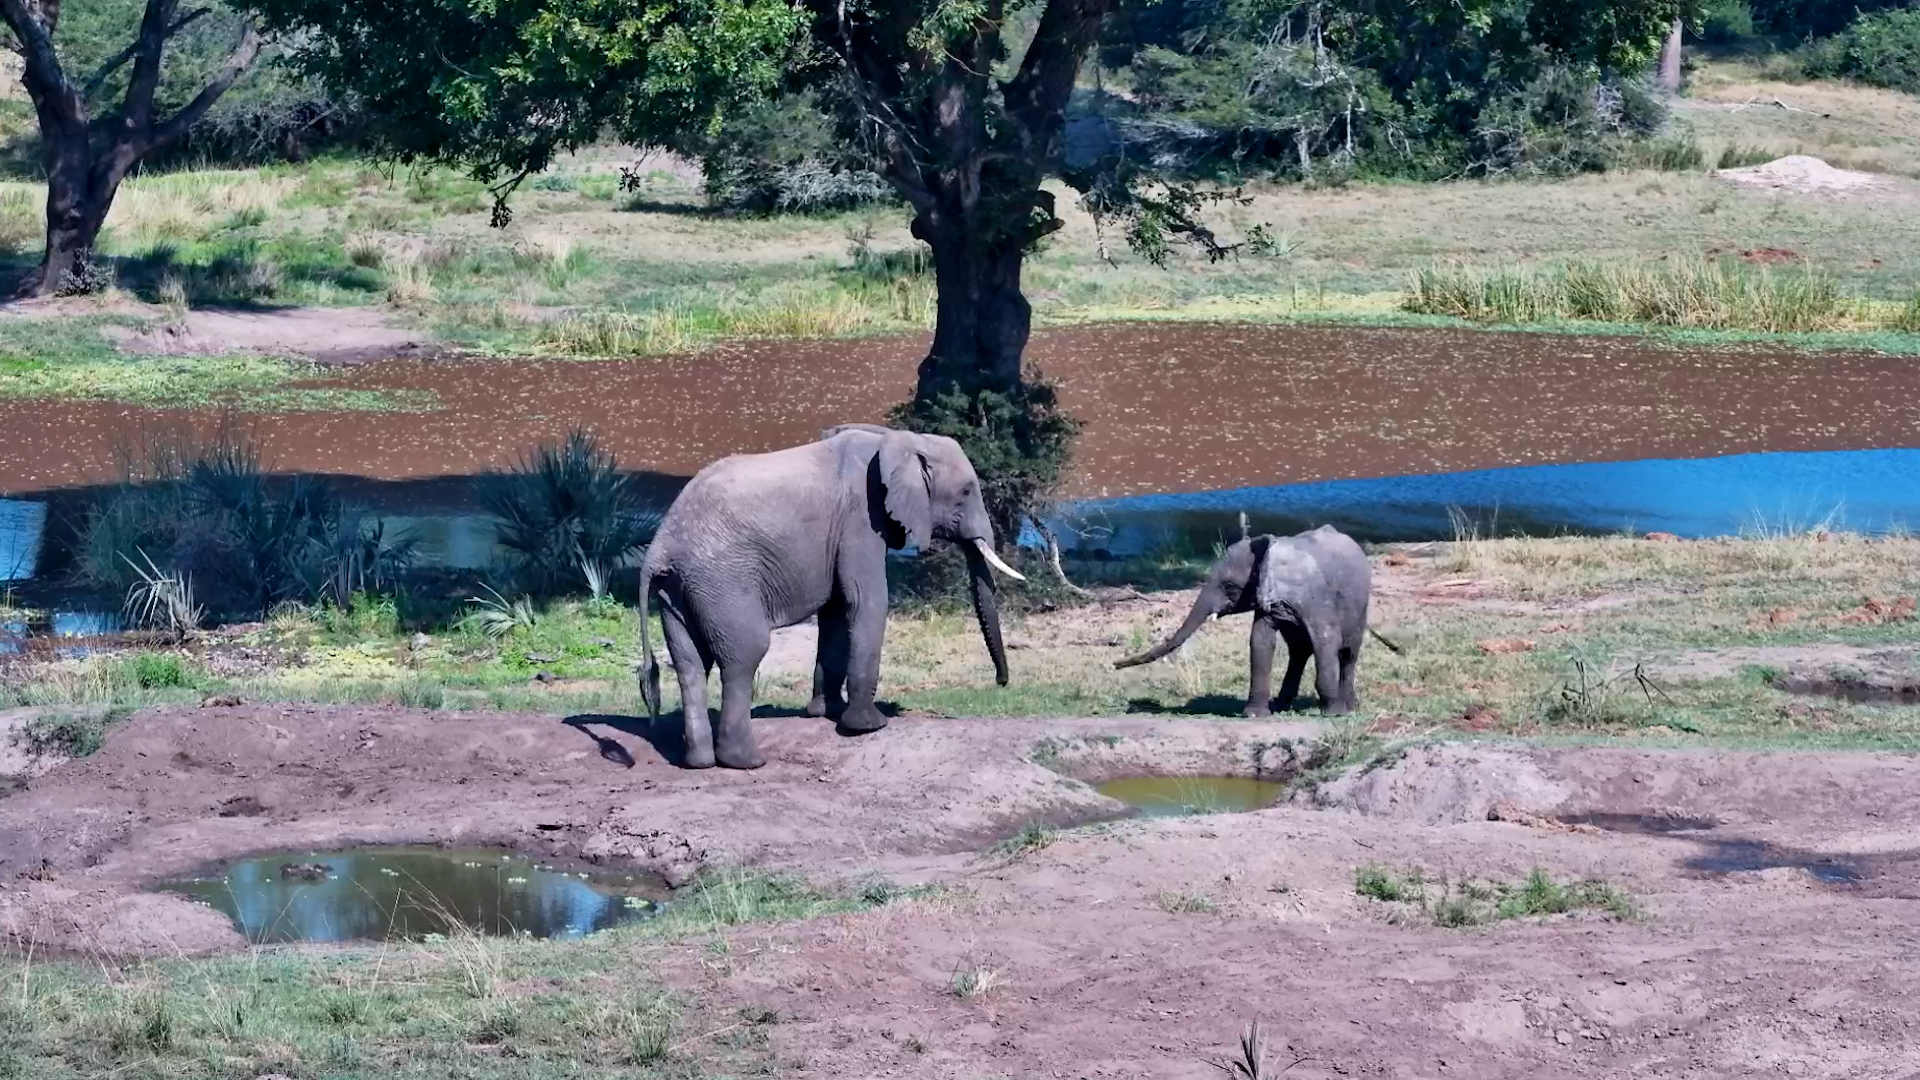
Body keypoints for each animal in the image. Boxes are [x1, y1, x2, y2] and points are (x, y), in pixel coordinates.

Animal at [637, 424, 1025, 769]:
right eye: (965, 492)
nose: (1000, 683)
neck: (900, 439)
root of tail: (659, 546)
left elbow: (837, 612)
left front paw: (826, 712)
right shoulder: (862, 520)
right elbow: (866, 602)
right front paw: (867, 726)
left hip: (680, 589)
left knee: (690, 664)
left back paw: (699, 763)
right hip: (723, 580)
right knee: (743, 657)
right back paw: (746, 762)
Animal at [1112, 525, 1391, 716]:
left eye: (1228, 586)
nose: (1115, 664)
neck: (1267, 549)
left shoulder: (1314, 596)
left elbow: (1326, 640)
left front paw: (1333, 713)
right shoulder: (1266, 597)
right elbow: (1260, 642)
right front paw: (1255, 715)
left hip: (1360, 603)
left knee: (1347, 653)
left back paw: (1349, 707)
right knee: (1299, 650)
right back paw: (1280, 704)